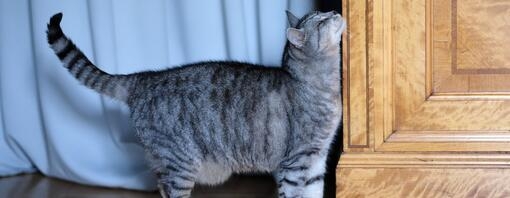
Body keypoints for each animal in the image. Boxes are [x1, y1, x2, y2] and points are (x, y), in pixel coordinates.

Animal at [45, 10, 346, 197]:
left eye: (325, 15)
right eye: (321, 22)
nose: (335, 12)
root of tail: (145, 77)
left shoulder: (316, 161)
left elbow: (314, 192)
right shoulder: (295, 162)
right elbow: (295, 194)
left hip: (165, 162)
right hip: (181, 162)